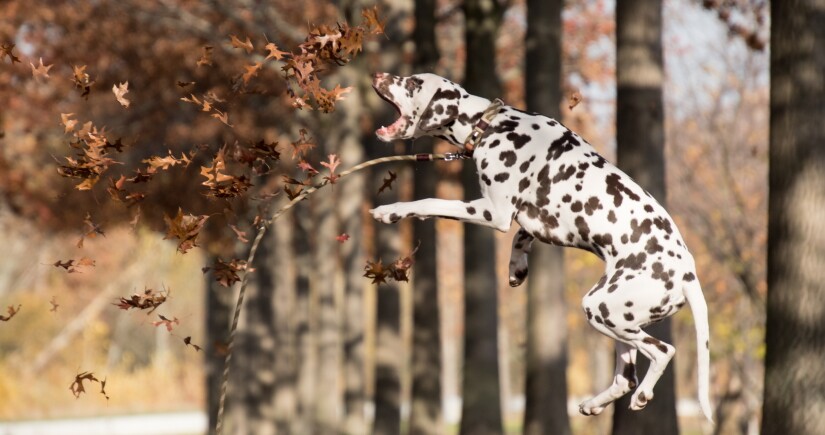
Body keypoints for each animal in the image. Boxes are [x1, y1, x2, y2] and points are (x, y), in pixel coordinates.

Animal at [370, 72, 712, 422]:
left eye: (413, 83)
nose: (379, 75)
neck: (491, 124)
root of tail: (688, 276)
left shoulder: (493, 212)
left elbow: (430, 202)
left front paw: (391, 211)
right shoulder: (536, 220)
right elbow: (522, 237)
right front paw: (516, 267)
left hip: (602, 309)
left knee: (662, 351)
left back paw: (643, 394)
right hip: (619, 321)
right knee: (625, 376)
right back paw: (594, 403)